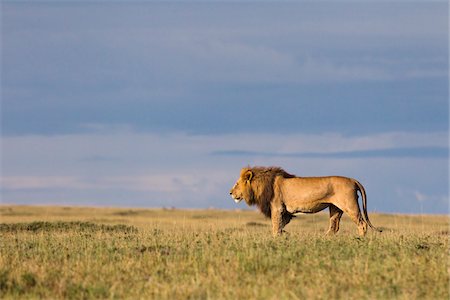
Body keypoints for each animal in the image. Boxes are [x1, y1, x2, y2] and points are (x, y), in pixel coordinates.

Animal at [230, 165, 382, 236]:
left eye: (237, 184)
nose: (230, 193)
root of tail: (352, 179)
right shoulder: (284, 211)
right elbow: (280, 226)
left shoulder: (277, 207)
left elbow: (275, 226)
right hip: (335, 208)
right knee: (334, 227)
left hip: (350, 205)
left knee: (362, 224)